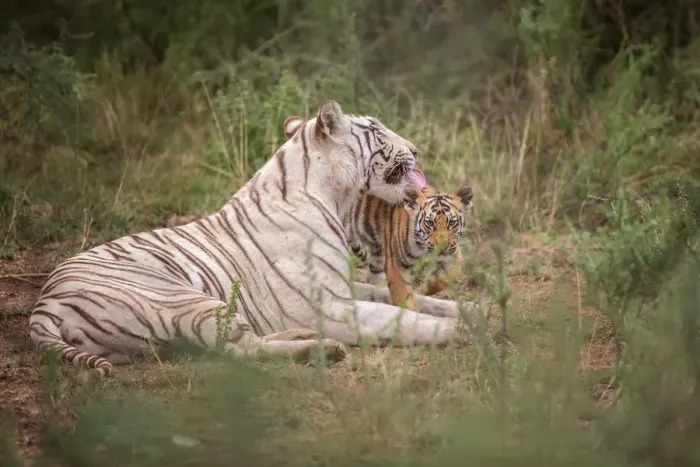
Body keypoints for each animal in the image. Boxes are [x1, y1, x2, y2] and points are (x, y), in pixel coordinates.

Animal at [283, 117, 474, 312]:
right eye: (429, 224)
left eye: (452, 223)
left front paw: (430, 288)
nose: (441, 247)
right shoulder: (396, 265)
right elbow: (405, 298)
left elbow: (452, 271)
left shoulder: (453, 250)